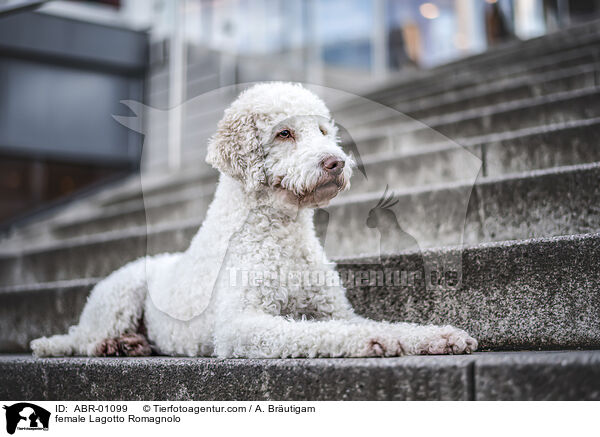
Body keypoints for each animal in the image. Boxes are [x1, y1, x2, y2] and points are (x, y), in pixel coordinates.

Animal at [31, 82, 478, 358]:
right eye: (284, 134)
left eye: (322, 130)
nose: (336, 162)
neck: (279, 232)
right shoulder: (240, 325)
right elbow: (312, 333)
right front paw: (371, 339)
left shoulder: (334, 311)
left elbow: (386, 324)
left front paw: (439, 336)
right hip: (119, 295)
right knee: (83, 341)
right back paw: (113, 345)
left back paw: (135, 345)